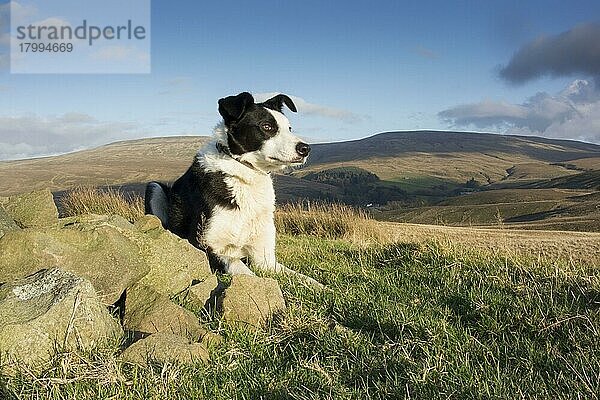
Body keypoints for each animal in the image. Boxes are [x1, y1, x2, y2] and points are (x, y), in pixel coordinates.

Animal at [145, 91, 314, 278]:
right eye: (267, 127)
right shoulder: (201, 245)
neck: (244, 175)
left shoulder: (265, 260)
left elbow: (304, 278)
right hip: (154, 188)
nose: (305, 149)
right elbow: (237, 265)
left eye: (289, 128)